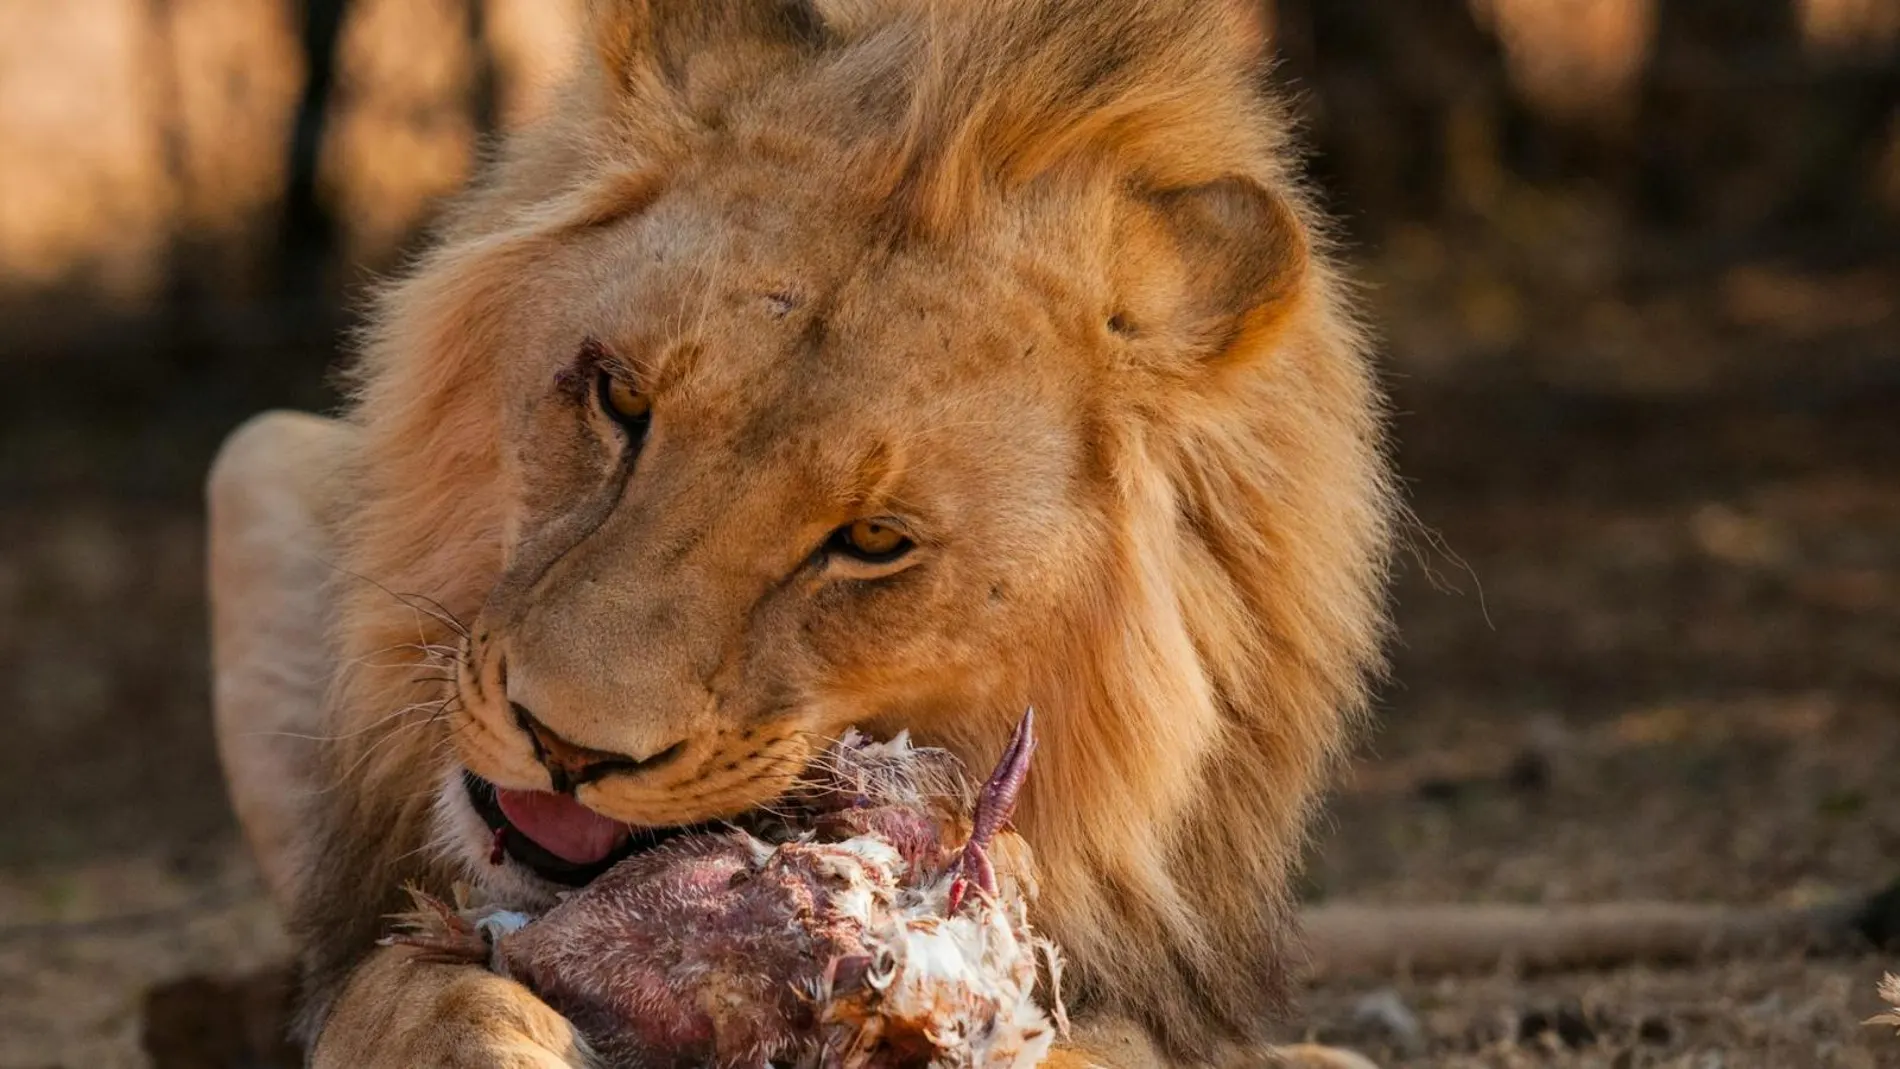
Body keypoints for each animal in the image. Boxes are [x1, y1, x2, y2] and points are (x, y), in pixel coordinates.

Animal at [201, 1, 1892, 1066]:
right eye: (617, 397)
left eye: (872, 542)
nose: (566, 745)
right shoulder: (378, 939)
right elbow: (411, 998)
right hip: (255, 455)